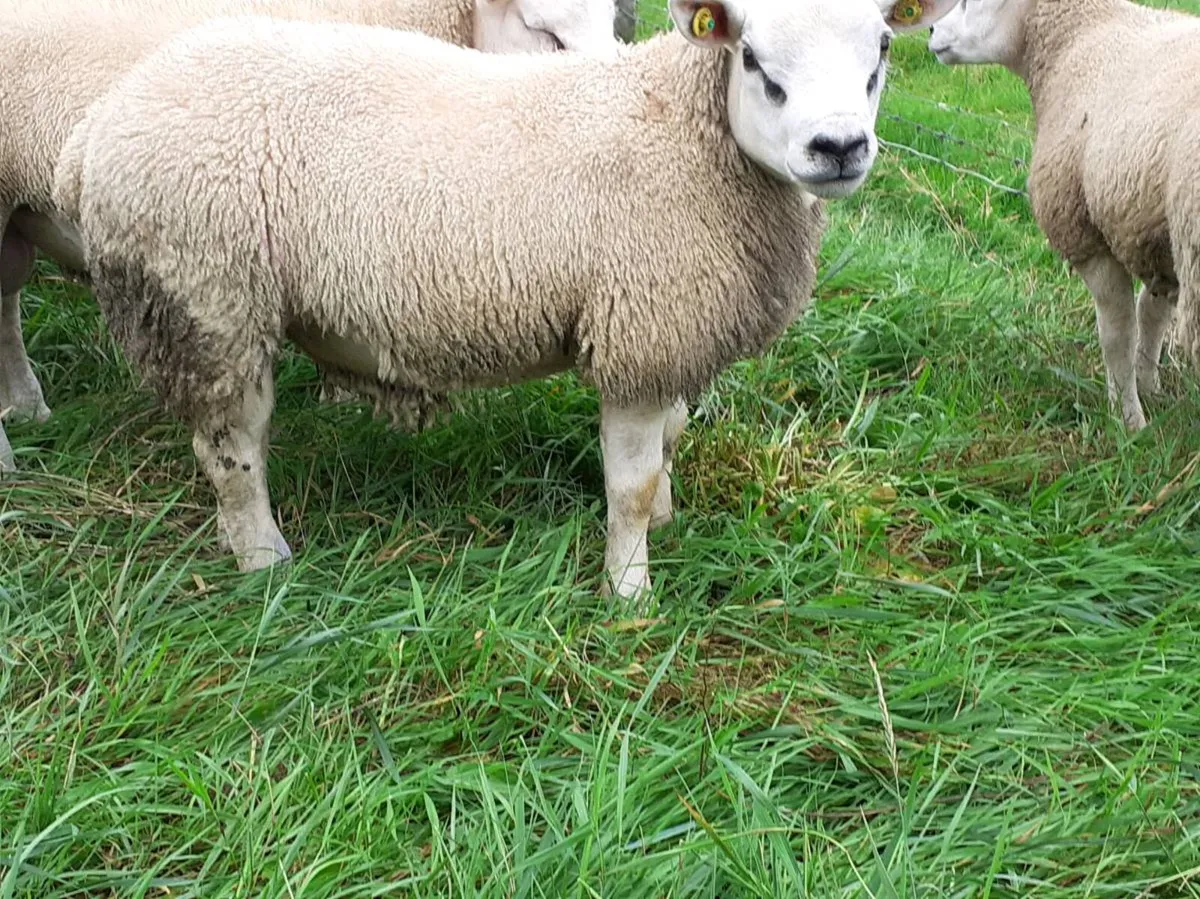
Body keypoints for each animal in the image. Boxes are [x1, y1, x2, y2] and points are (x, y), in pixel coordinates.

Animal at [926, 0, 1200, 432]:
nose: (932, 31)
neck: (1074, 38)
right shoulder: (1155, 234)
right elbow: (1151, 315)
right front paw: (1150, 389)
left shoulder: (1081, 227)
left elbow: (1118, 333)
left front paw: (1128, 420)